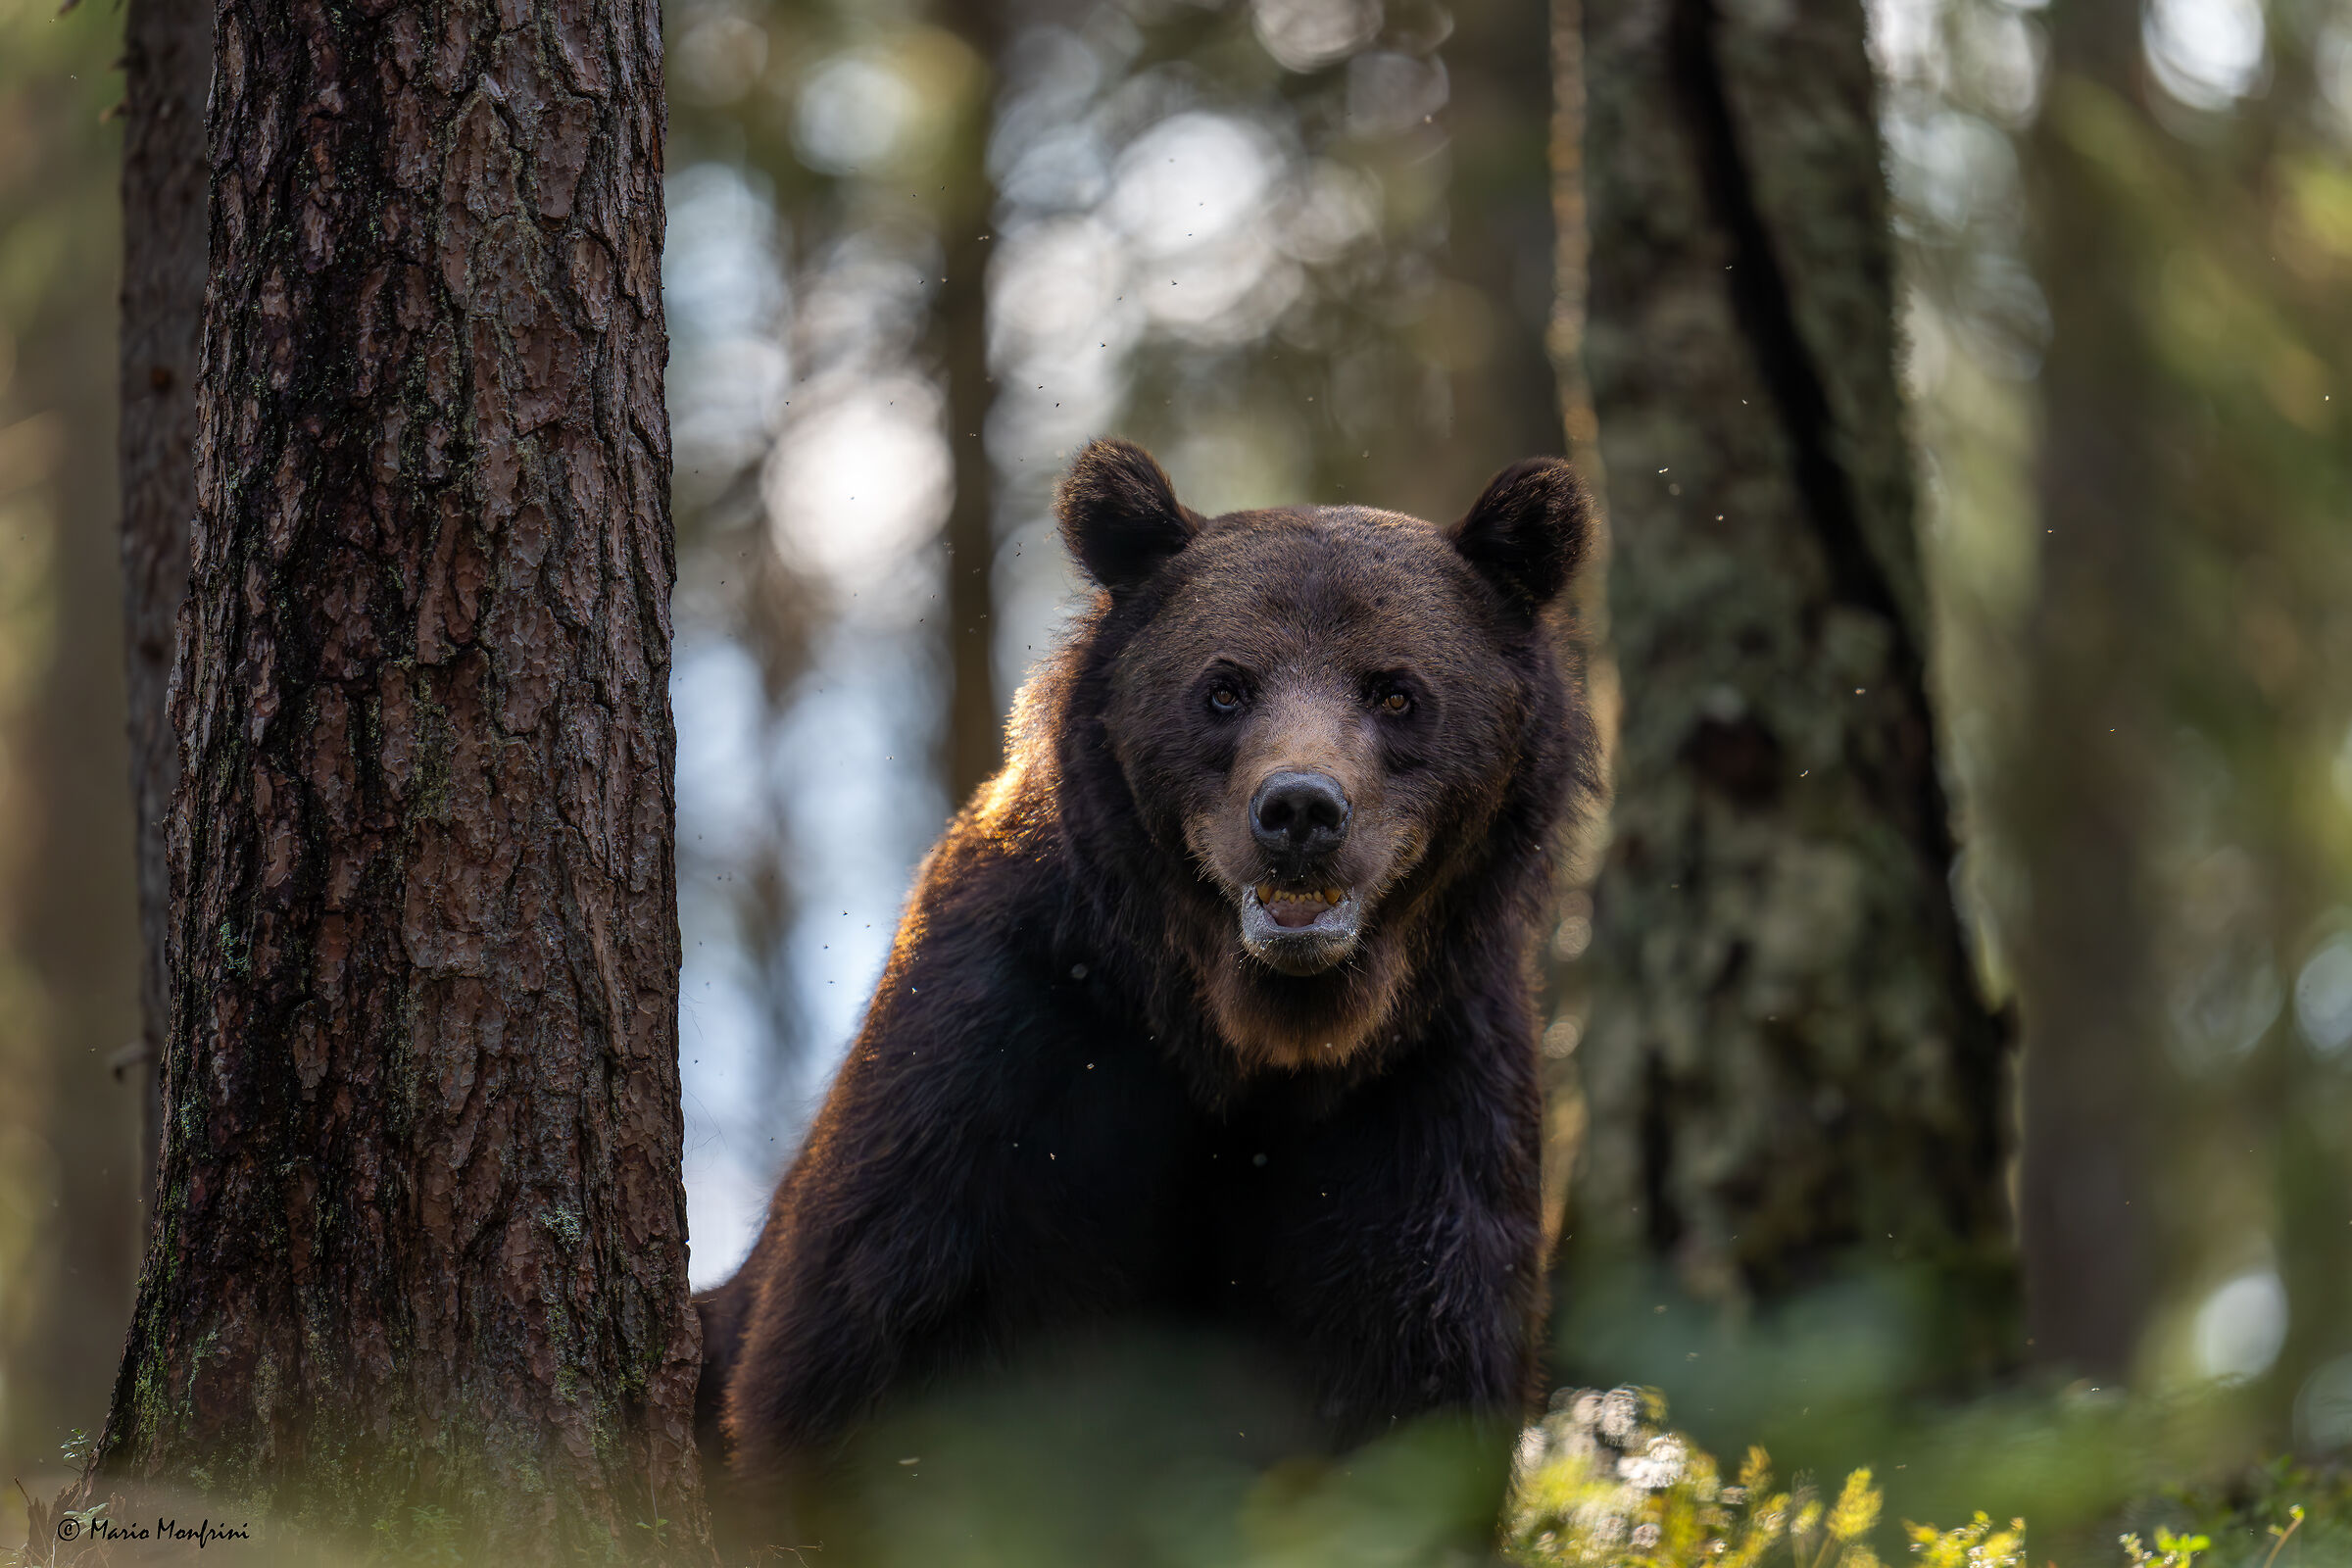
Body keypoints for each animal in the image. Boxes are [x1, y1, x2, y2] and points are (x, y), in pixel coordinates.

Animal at [695, 438, 1594, 1540]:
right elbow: (870, 1357)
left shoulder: (1426, 1096)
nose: (1300, 810)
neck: (1251, 1044)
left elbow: (1414, 1381)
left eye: (1395, 691)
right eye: (1225, 688)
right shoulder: (1006, 1056)